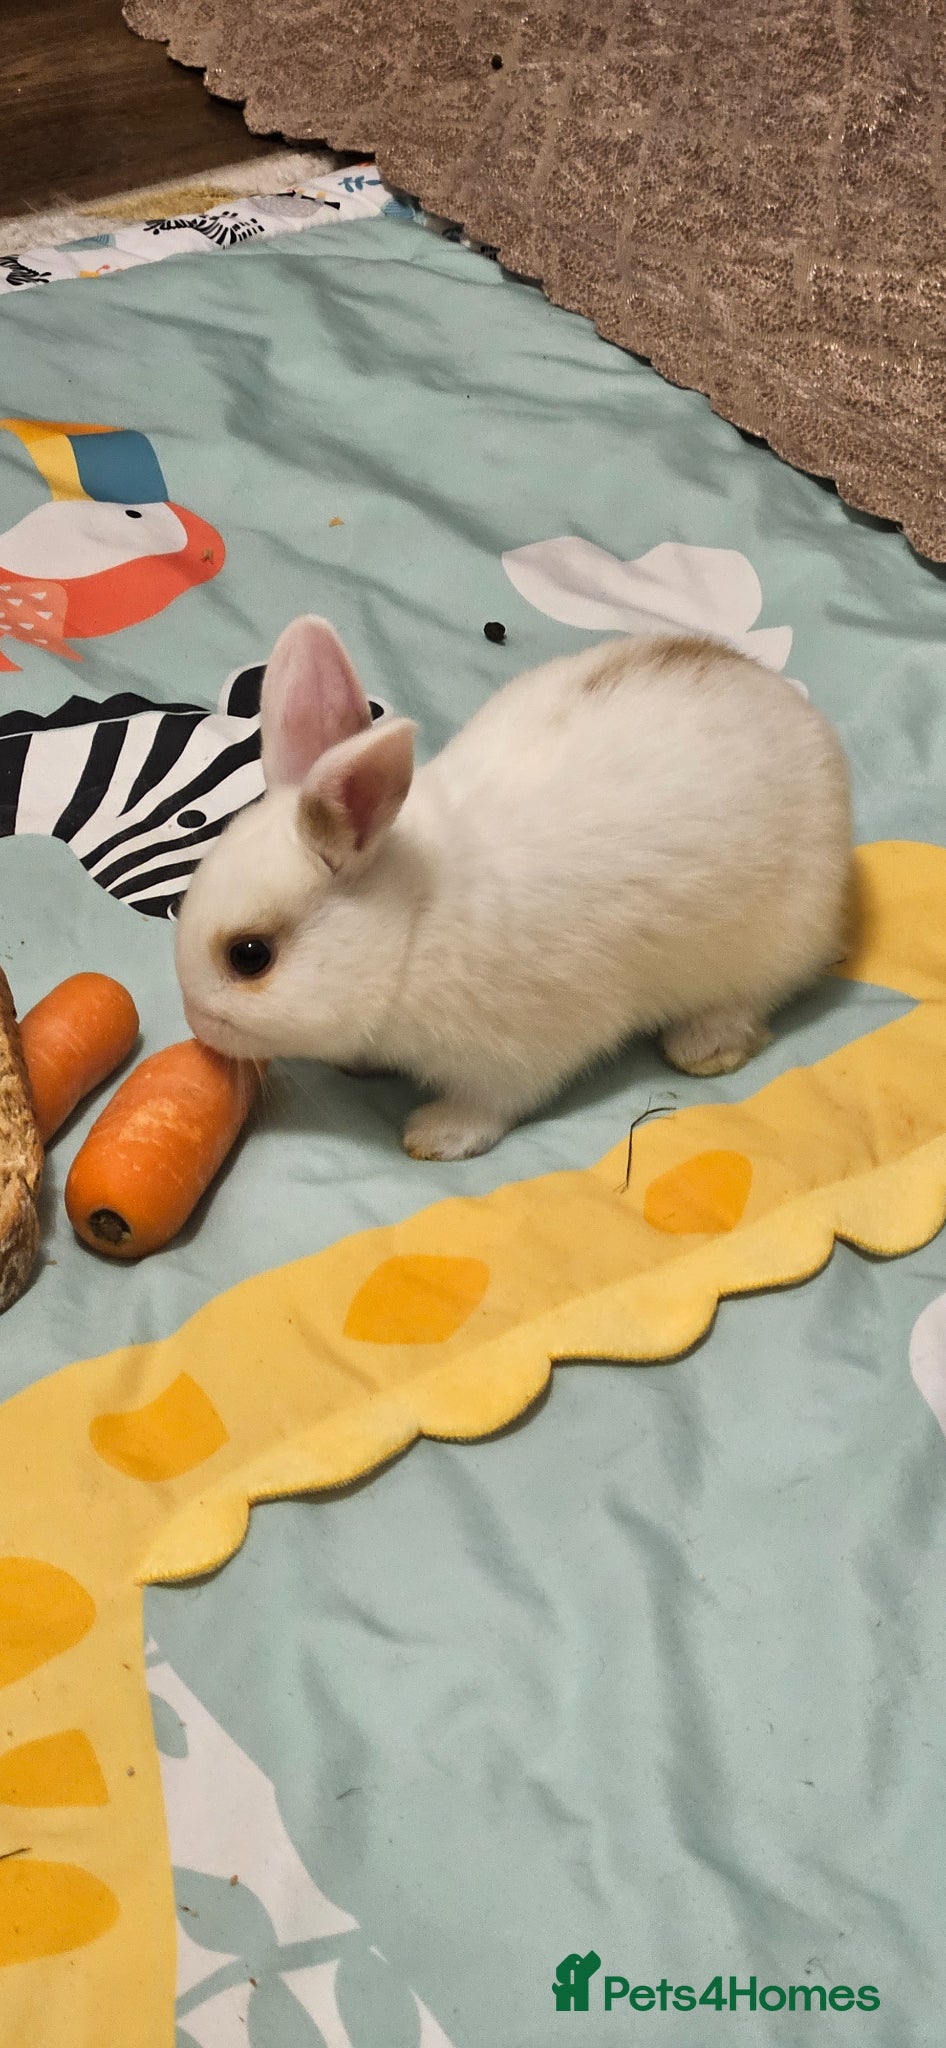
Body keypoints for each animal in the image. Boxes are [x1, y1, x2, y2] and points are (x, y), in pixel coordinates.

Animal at [174, 614, 852, 1161]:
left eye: (250, 956)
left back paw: (702, 1047)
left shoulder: (517, 1050)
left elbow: (493, 1102)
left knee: (756, 999)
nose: (196, 1025)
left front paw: (436, 1137)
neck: (412, 923)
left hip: (775, 938)